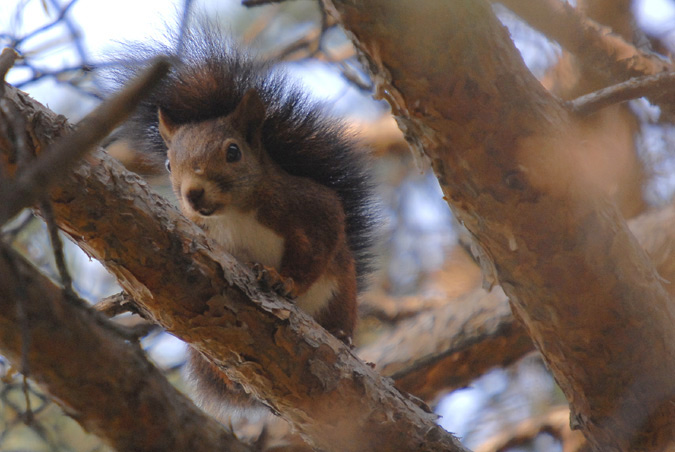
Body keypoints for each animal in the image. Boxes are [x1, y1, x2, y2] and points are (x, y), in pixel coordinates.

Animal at [108, 23, 378, 420]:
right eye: (170, 164)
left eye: (233, 152)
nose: (193, 194)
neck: (232, 214)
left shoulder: (311, 208)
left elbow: (317, 246)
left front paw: (285, 281)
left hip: (340, 296)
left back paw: (343, 337)